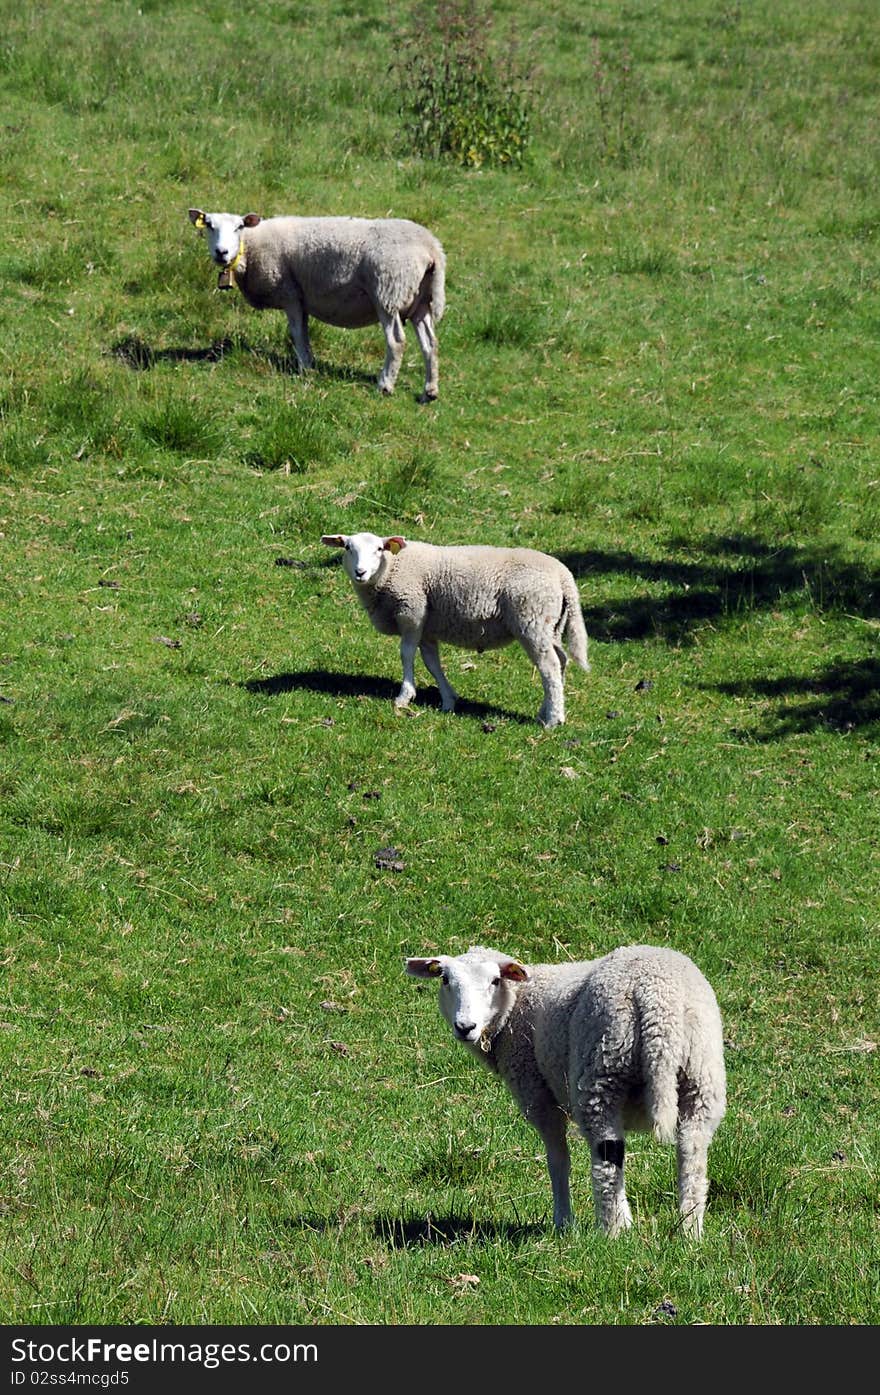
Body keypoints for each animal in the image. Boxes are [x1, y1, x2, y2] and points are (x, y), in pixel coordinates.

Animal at [186, 209, 446, 401]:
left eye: (239, 227)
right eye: (209, 225)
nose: (221, 252)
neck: (251, 248)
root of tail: (432, 248)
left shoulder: (290, 293)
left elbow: (297, 333)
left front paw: (304, 368)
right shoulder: (301, 298)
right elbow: (305, 332)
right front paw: (310, 363)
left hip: (388, 292)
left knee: (397, 342)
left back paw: (385, 385)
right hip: (422, 301)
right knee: (430, 343)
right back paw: (430, 390)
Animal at [320, 530, 588, 730]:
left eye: (378, 549)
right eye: (348, 548)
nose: (360, 572)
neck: (392, 568)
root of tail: (564, 576)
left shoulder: (412, 612)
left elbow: (406, 654)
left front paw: (404, 696)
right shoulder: (427, 625)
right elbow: (432, 662)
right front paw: (448, 700)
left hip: (532, 620)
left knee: (549, 666)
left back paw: (553, 720)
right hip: (551, 625)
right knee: (561, 661)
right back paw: (548, 711)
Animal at [401, 943, 725, 1238]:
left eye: (495, 981)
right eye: (445, 980)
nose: (465, 1026)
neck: (514, 1008)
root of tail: (656, 999)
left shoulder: (537, 1093)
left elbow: (558, 1160)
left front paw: (563, 1223)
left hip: (601, 1069)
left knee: (608, 1156)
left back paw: (613, 1232)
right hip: (701, 1076)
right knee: (692, 1154)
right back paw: (689, 1231)